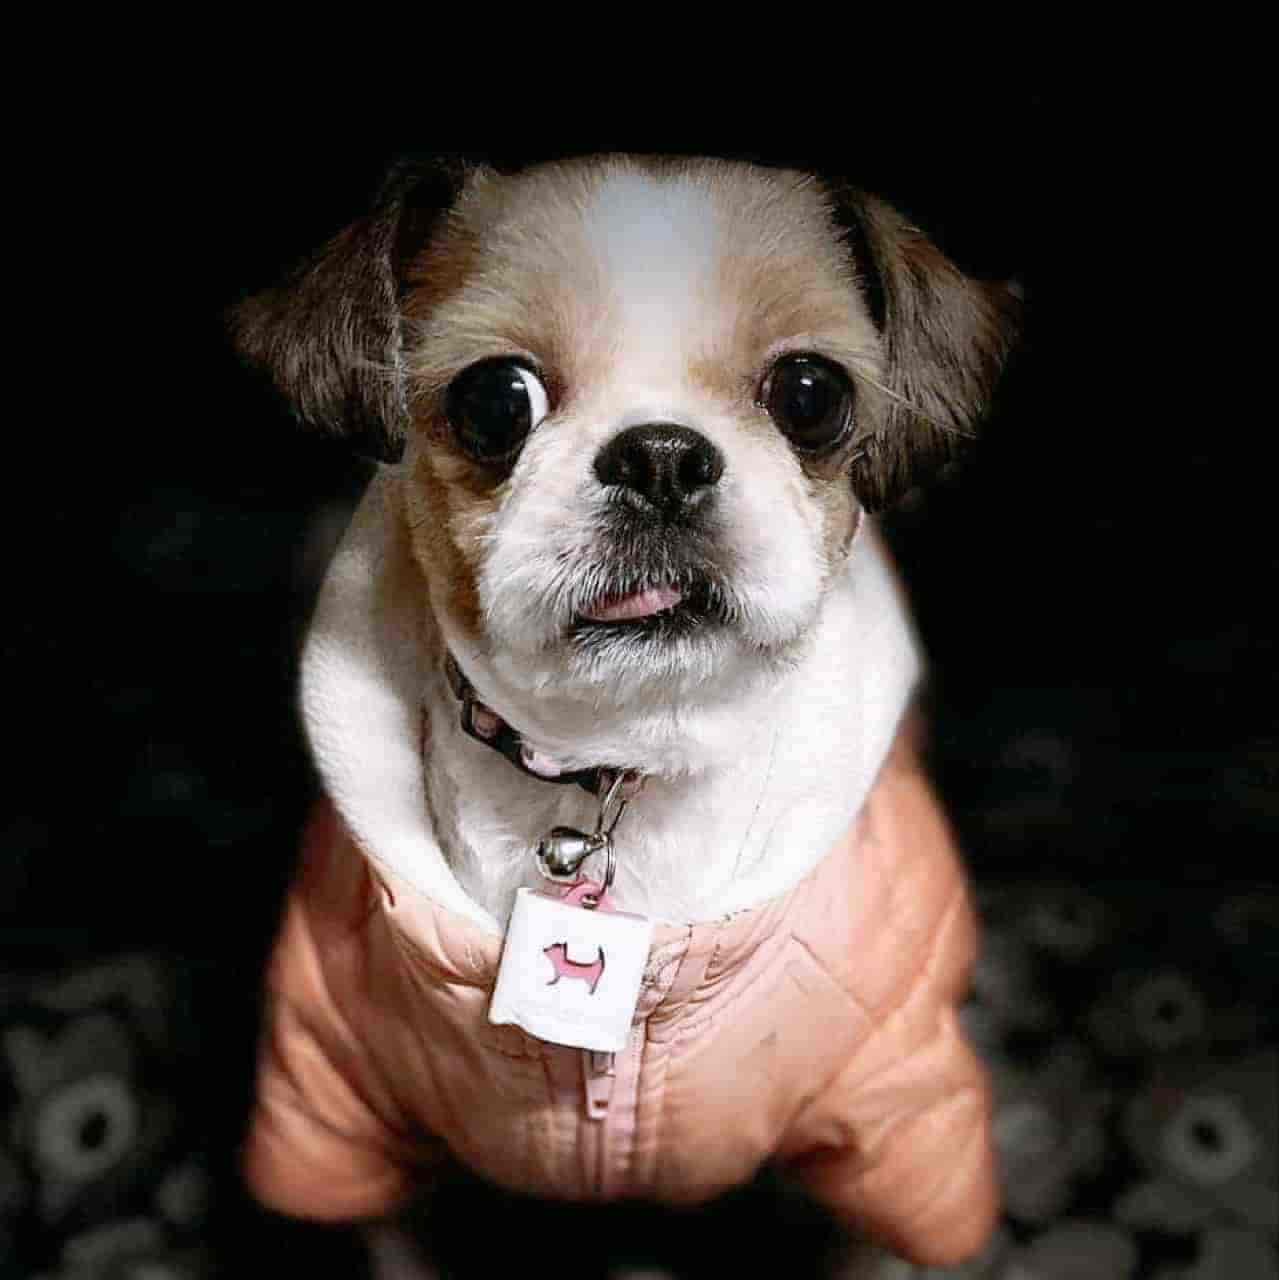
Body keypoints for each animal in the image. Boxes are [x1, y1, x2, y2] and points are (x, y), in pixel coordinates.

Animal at [231, 153, 1018, 1272]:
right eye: (495, 400)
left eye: (810, 394)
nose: (660, 457)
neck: (619, 769)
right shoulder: (347, 1109)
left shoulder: (897, 1129)